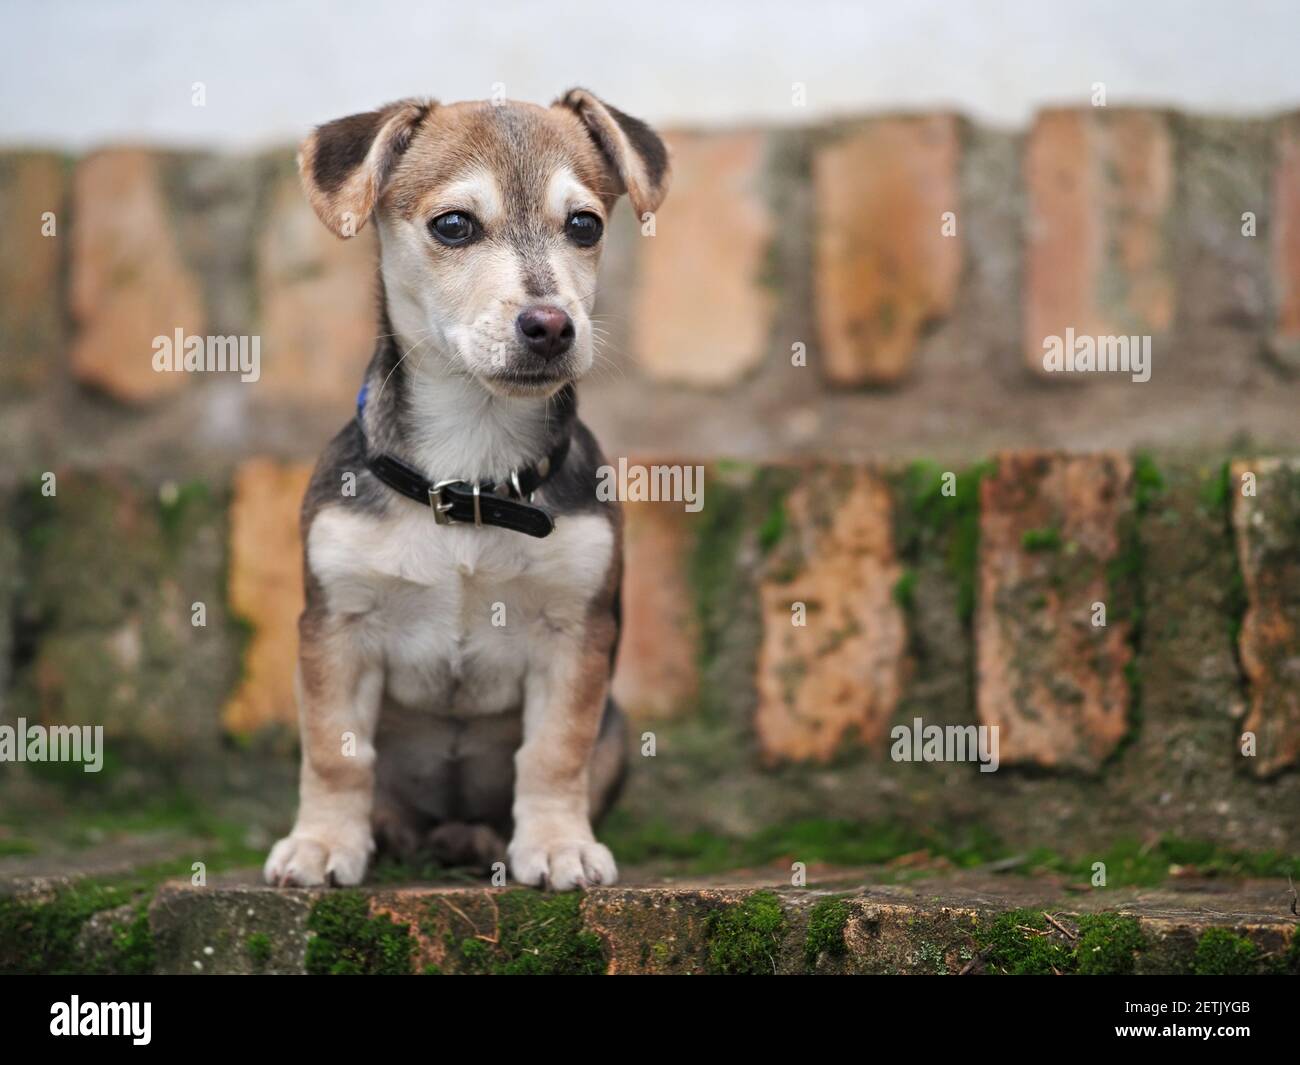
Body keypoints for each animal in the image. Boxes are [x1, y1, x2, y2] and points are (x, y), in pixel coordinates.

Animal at [263, 89, 670, 889]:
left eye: (585, 225)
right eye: (453, 225)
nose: (551, 325)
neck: (470, 474)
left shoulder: (574, 632)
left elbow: (554, 751)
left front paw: (557, 844)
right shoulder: (336, 627)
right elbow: (335, 750)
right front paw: (322, 844)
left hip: (617, 724)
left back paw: (477, 839)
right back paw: (394, 830)